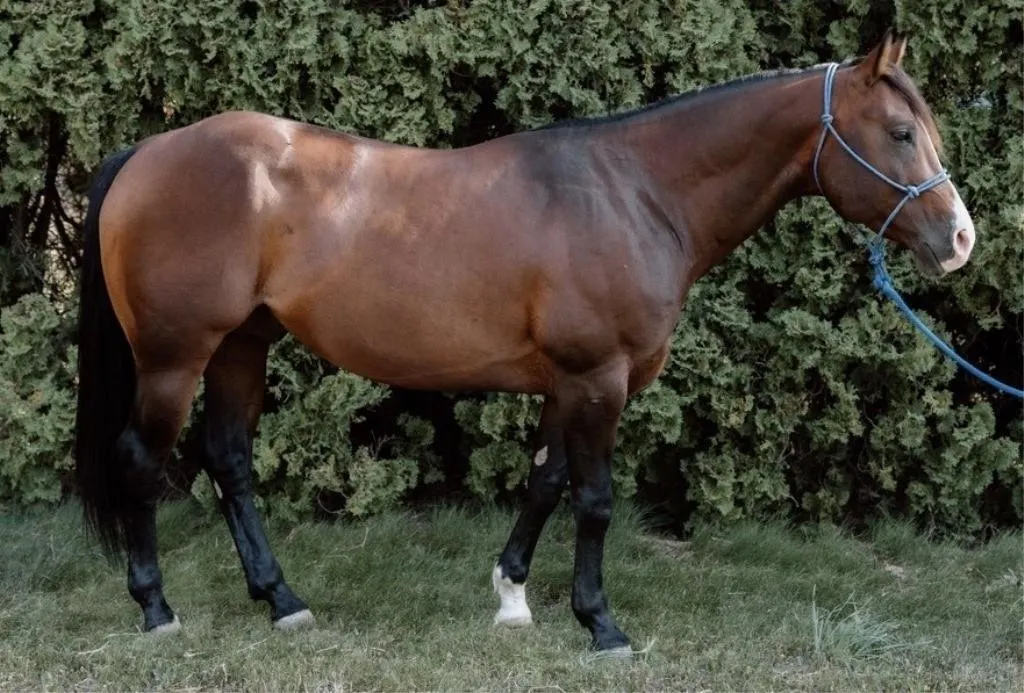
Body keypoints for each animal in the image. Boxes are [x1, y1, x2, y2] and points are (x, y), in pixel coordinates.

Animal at [74, 30, 975, 653]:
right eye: (900, 131)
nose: (961, 238)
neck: (636, 193)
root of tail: (150, 149)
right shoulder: (598, 377)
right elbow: (595, 498)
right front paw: (601, 624)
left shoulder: (566, 382)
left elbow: (544, 483)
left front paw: (511, 596)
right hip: (175, 357)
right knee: (142, 461)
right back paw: (157, 609)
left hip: (241, 345)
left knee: (228, 459)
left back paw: (283, 600)